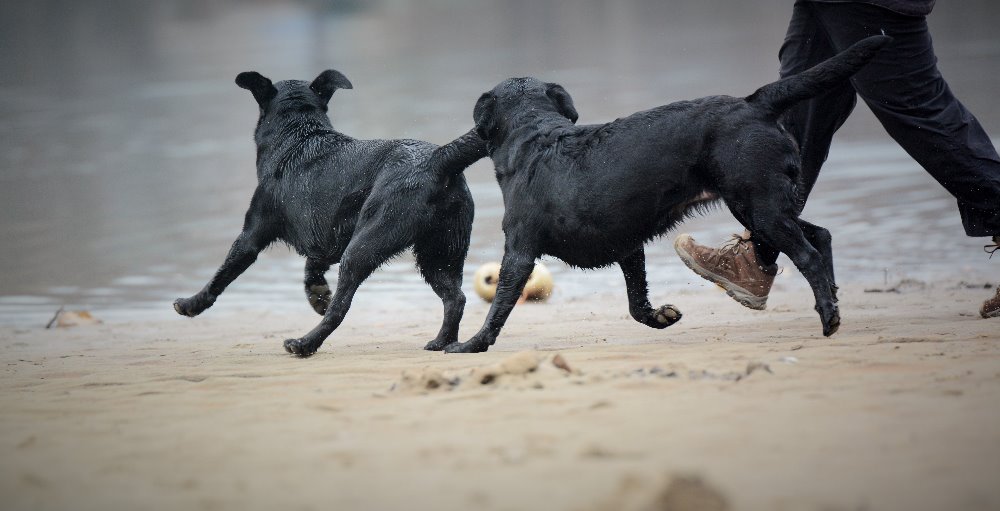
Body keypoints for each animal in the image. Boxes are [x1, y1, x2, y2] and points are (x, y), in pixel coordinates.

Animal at [176, 70, 488, 356]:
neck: (296, 135)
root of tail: (439, 159)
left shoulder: (253, 233)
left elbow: (222, 274)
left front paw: (191, 304)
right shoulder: (326, 232)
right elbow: (313, 265)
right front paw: (317, 294)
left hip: (367, 243)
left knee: (340, 308)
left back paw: (304, 343)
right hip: (440, 253)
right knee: (455, 298)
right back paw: (442, 341)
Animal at [442, 35, 896, 352]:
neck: (535, 139)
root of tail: (755, 104)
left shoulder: (519, 250)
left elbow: (501, 304)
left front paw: (471, 344)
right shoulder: (628, 245)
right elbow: (635, 300)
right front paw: (662, 316)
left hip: (757, 205)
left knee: (809, 253)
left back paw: (828, 317)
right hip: (764, 204)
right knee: (821, 234)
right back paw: (833, 299)